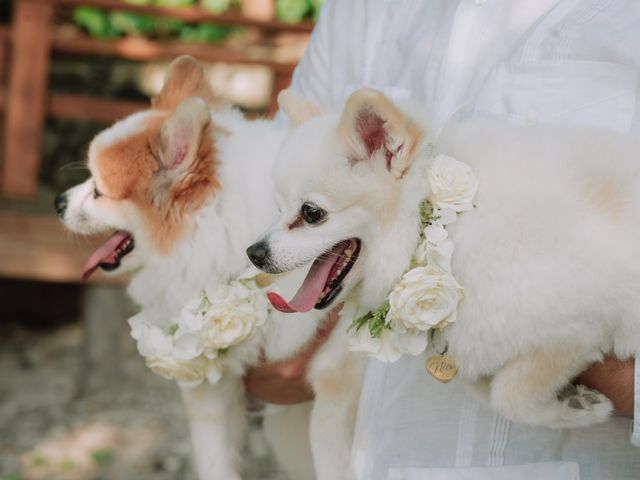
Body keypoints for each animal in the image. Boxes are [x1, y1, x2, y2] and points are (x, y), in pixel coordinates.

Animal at [249, 88, 640, 430]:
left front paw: (576, 412)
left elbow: (509, 395)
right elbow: (482, 385)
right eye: (278, 208)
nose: (254, 253)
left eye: (311, 213)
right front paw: (572, 401)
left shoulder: (579, 322)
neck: (449, 231)